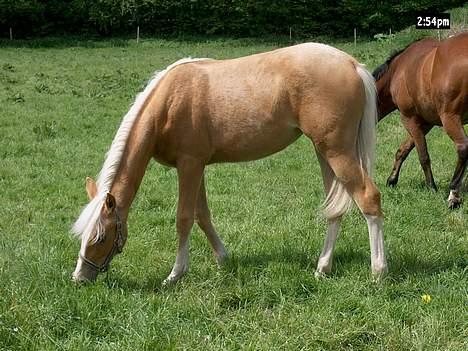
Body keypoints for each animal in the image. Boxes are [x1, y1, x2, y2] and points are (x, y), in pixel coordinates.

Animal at [72, 44, 388, 286]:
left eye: (101, 238)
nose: (80, 278)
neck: (170, 101)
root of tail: (351, 64)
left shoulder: (189, 165)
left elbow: (184, 218)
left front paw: (175, 274)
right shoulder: (195, 167)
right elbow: (202, 215)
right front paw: (222, 259)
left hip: (338, 152)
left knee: (368, 198)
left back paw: (378, 272)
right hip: (325, 152)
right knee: (335, 209)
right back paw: (322, 268)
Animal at [372, 32, 468, 209]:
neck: (398, 69)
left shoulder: (409, 119)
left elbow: (423, 155)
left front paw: (431, 187)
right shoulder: (425, 122)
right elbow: (403, 150)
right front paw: (392, 180)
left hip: (450, 119)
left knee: (463, 148)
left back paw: (453, 194)